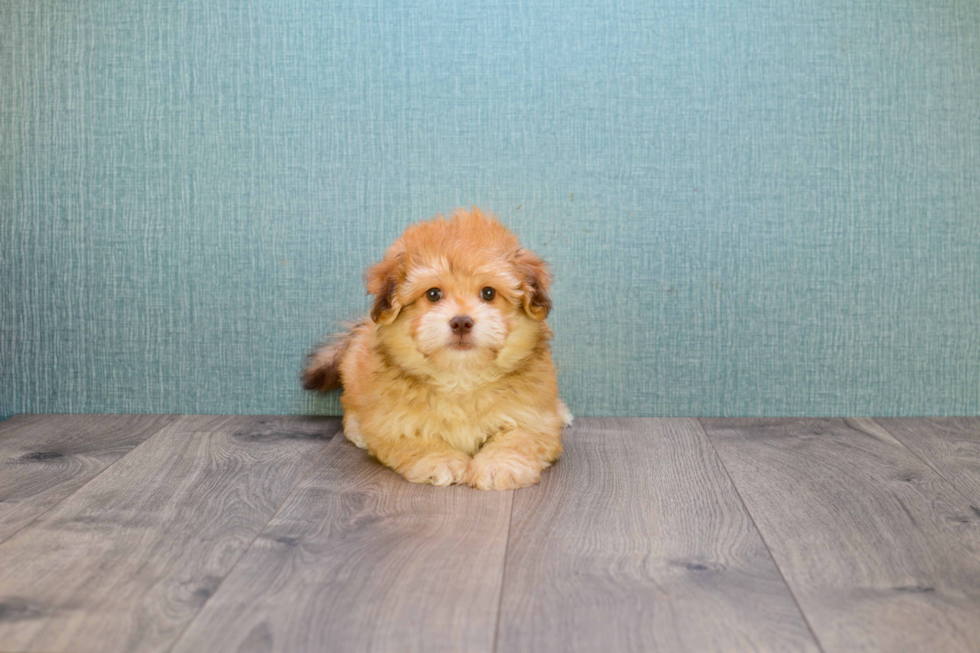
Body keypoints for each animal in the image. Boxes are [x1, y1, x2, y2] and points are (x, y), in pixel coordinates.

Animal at [302, 209, 572, 488]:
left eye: (488, 293)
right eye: (433, 294)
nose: (461, 322)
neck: (461, 378)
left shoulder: (532, 419)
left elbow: (517, 439)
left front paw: (499, 464)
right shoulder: (394, 422)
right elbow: (415, 440)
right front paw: (441, 460)